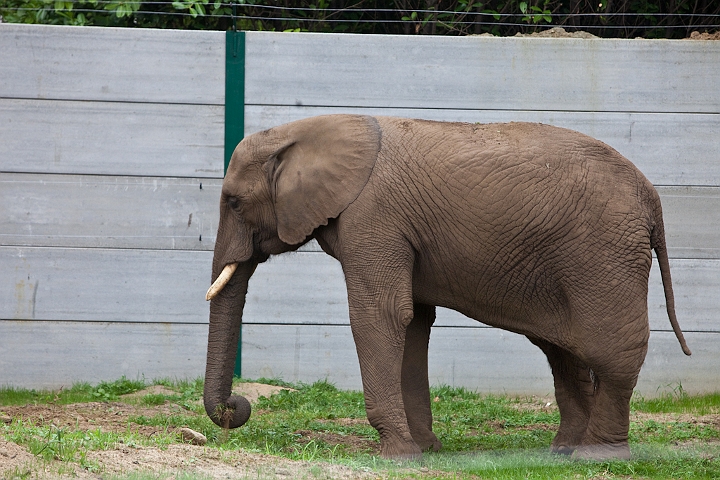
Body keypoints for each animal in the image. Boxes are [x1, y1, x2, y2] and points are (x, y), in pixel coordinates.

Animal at [203, 114, 691, 461]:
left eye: (234, 202)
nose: (236, 409)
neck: (305, 131)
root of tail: (652, 197)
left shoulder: (373, 217)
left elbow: (380, 314)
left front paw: (397, 455)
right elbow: (413, 322)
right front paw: (424, 450)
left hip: (604, 252)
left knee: (610, 350)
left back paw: (596, 457)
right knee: (564, 350)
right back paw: (564, 451)